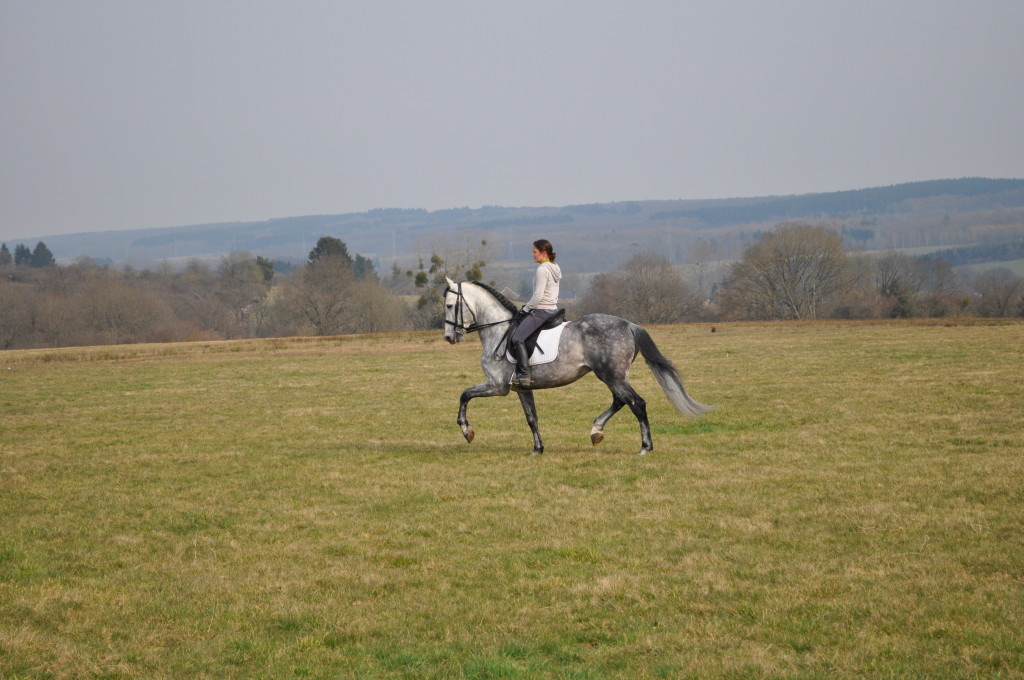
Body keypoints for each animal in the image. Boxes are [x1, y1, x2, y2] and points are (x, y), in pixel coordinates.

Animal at [440, 276, 712, 456]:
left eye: (450, 305)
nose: (449, 337)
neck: (498, 329)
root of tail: (629, 325)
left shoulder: (498, 385)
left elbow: (464, 395)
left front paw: (467, 431)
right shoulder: (521, 388)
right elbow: (532, 418)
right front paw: (538, 449)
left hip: (611, 375)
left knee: (637, 403)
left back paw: (645, 447)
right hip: (613, 376)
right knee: (620, 401)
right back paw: (596, 431)